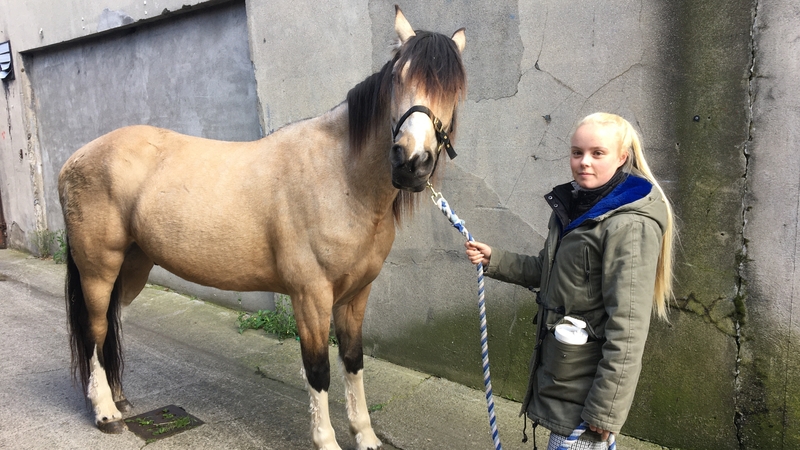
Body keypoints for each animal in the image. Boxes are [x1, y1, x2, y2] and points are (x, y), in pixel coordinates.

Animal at [58, 6, 466, 450]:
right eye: (398, 77)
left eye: (455, 90)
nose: (411, 162)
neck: (340, 177)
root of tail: (74, 159)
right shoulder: (310, 296)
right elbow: (318, 369)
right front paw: (326, 440)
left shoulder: (356, 295)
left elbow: (353, 363)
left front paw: (366, 436)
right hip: (98, 269)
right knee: (95, 329)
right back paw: (105, 413)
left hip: (132, 267)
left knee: (110, 328)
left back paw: (118, 398)